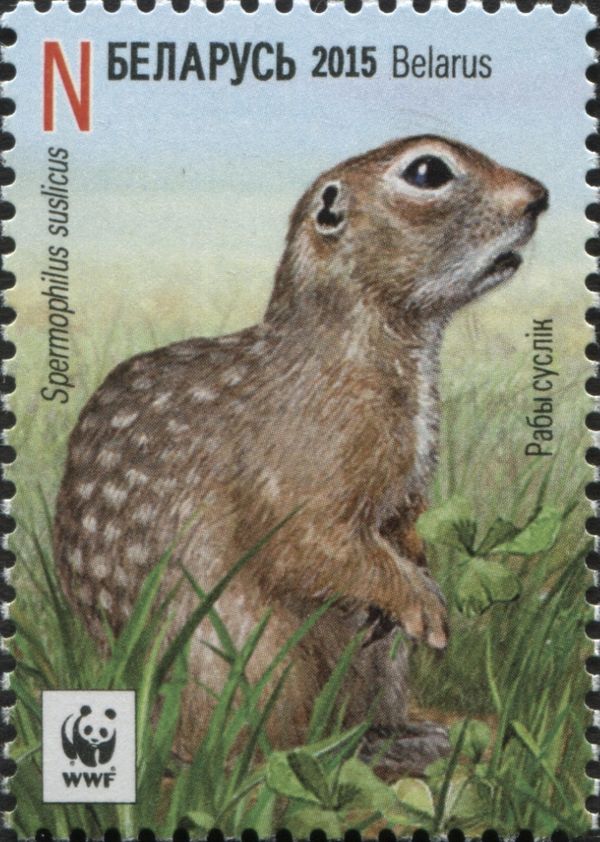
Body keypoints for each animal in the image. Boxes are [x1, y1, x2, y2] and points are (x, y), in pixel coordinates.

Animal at [54, 135, 548, 778]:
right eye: (427, 171)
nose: (539, 196)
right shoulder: (302, 464)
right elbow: (313, 541)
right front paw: (424, 603)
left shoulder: (406, 486)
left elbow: (401, 526)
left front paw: (420, 568)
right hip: (254, 654)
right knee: (259, 753)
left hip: (377, 665)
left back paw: (409, 737)